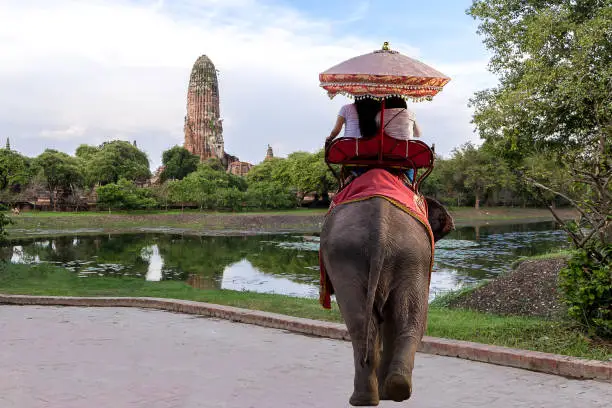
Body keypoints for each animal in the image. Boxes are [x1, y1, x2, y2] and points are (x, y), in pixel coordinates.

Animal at [320, 195, 454, 404]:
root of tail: (380, 227)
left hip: (357, 257)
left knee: (364, 324)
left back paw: (368, 397)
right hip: (402, 257)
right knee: (403, 321)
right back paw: (392, 390)